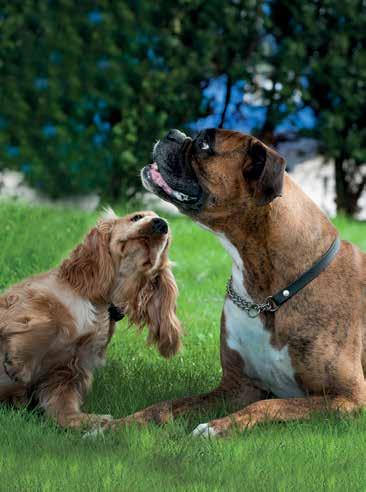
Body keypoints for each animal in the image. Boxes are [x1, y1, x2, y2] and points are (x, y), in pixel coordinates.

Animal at [109, 129, 366, 436]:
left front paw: (215, 427)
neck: (266, 297)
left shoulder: (348, 398)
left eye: (204, 143)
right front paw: (113, 426)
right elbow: (166, 405)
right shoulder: (236, 388)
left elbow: (268, 405)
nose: (172, 133)